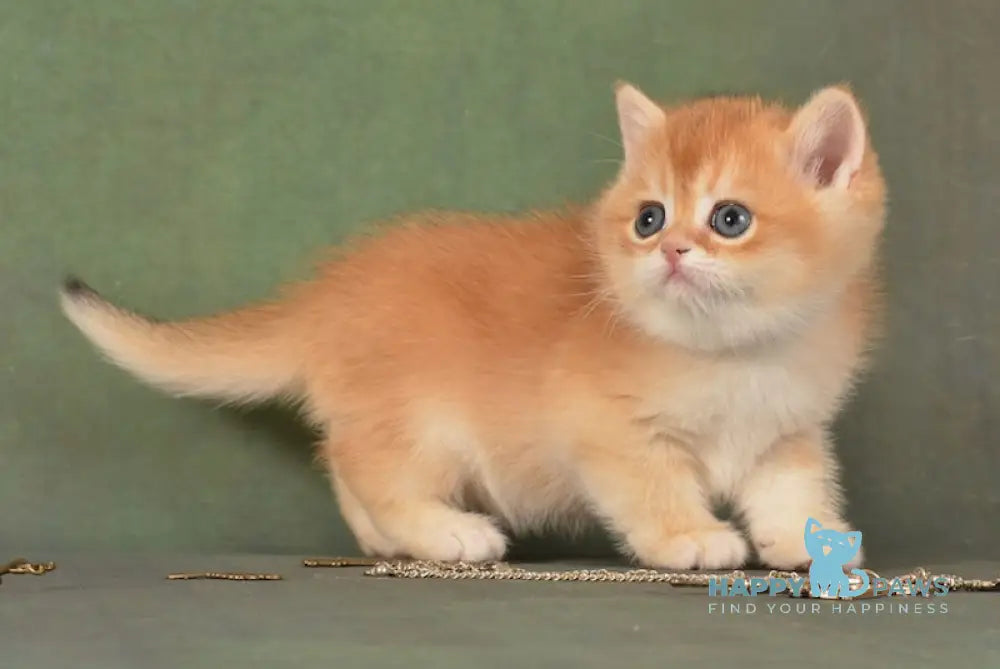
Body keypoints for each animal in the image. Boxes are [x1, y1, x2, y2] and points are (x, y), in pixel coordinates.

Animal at [62, 81, 888, 568]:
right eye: (649, 218)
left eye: (729, 218)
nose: (671, 250)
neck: (737, 354)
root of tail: (325, 293)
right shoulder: (611, 432)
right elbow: (653, 489)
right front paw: (690, 536)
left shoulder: (786, 434)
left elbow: (793, 490)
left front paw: (806, 538)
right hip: (418, 426)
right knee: (362, 463)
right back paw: (446, 533)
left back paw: (386, 540)